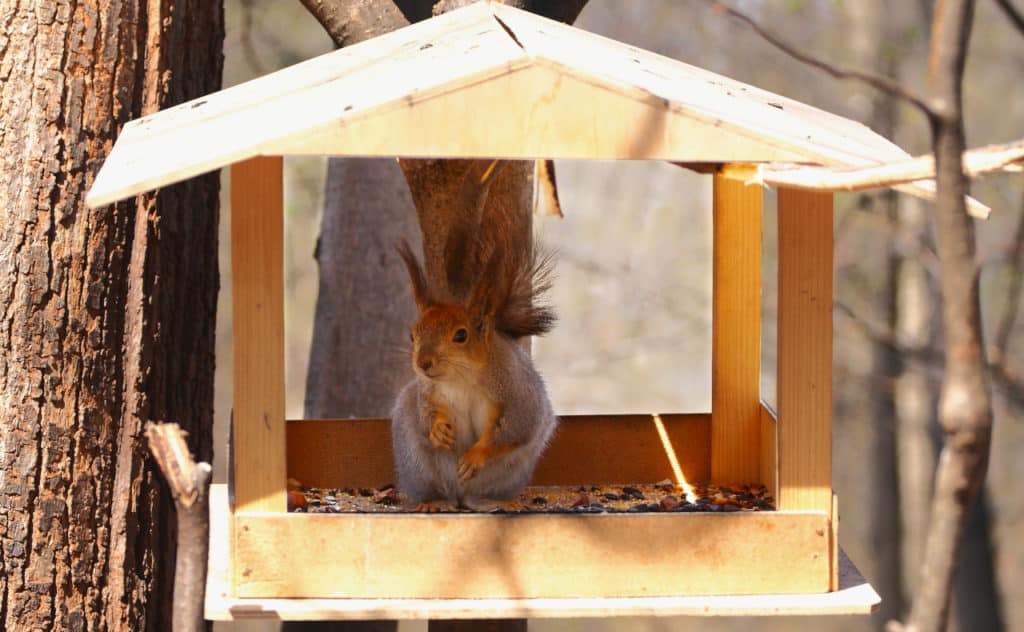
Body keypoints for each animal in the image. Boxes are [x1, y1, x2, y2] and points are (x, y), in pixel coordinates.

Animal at [389, 159, 557, 510]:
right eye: (413, 334)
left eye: (461, 336)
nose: (423, 363)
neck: (461, 377)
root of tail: (458, 497)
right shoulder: (427, 392)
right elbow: (428, 414)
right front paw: (439, 430)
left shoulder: (518, 391)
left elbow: (515, 427)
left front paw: (477, 454)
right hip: (415, 463)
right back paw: (432, 501)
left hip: (509, 473)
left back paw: (488, 500)